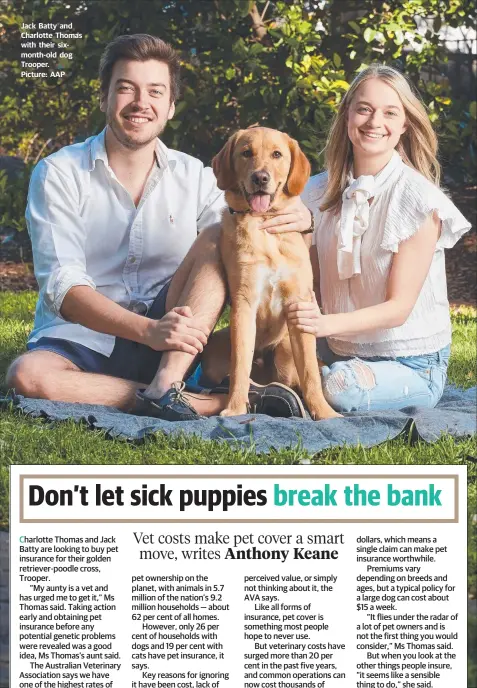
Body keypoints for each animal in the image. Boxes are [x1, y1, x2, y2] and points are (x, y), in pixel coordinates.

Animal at [205, 126, 338, 422]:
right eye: (246, 153)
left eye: (277, 154)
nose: (260, 177)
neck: (264, 226)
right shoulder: (244, 303)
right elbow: (240, 365)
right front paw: (235, 408)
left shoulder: (299, 305)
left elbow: (310, 373)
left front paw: (325, 413)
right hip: (215, 352)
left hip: (285, 352)